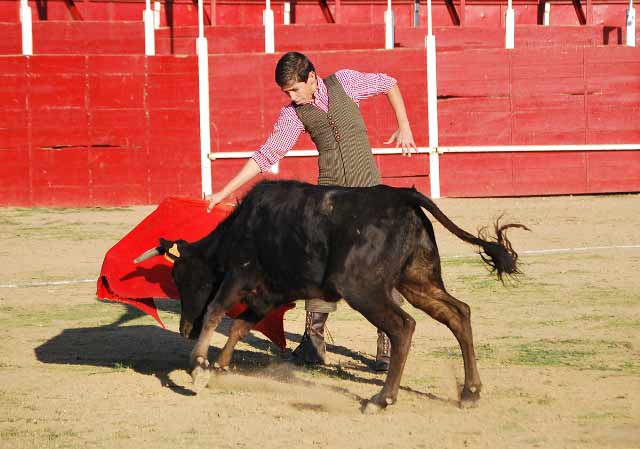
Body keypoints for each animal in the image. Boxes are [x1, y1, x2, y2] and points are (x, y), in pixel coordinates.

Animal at [136, 180, 528, 412]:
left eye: (181, 277)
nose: (185, 329)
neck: (237, 230)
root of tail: (402, 195)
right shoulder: (269, 294)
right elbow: (240, 326)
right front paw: (218, 367)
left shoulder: (239, 276)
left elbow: (218, 311)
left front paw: (200, 366)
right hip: (417, 280)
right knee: (458, 313)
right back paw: (470, 392)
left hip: (363, 288)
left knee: (403, 326)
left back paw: (382, 399)